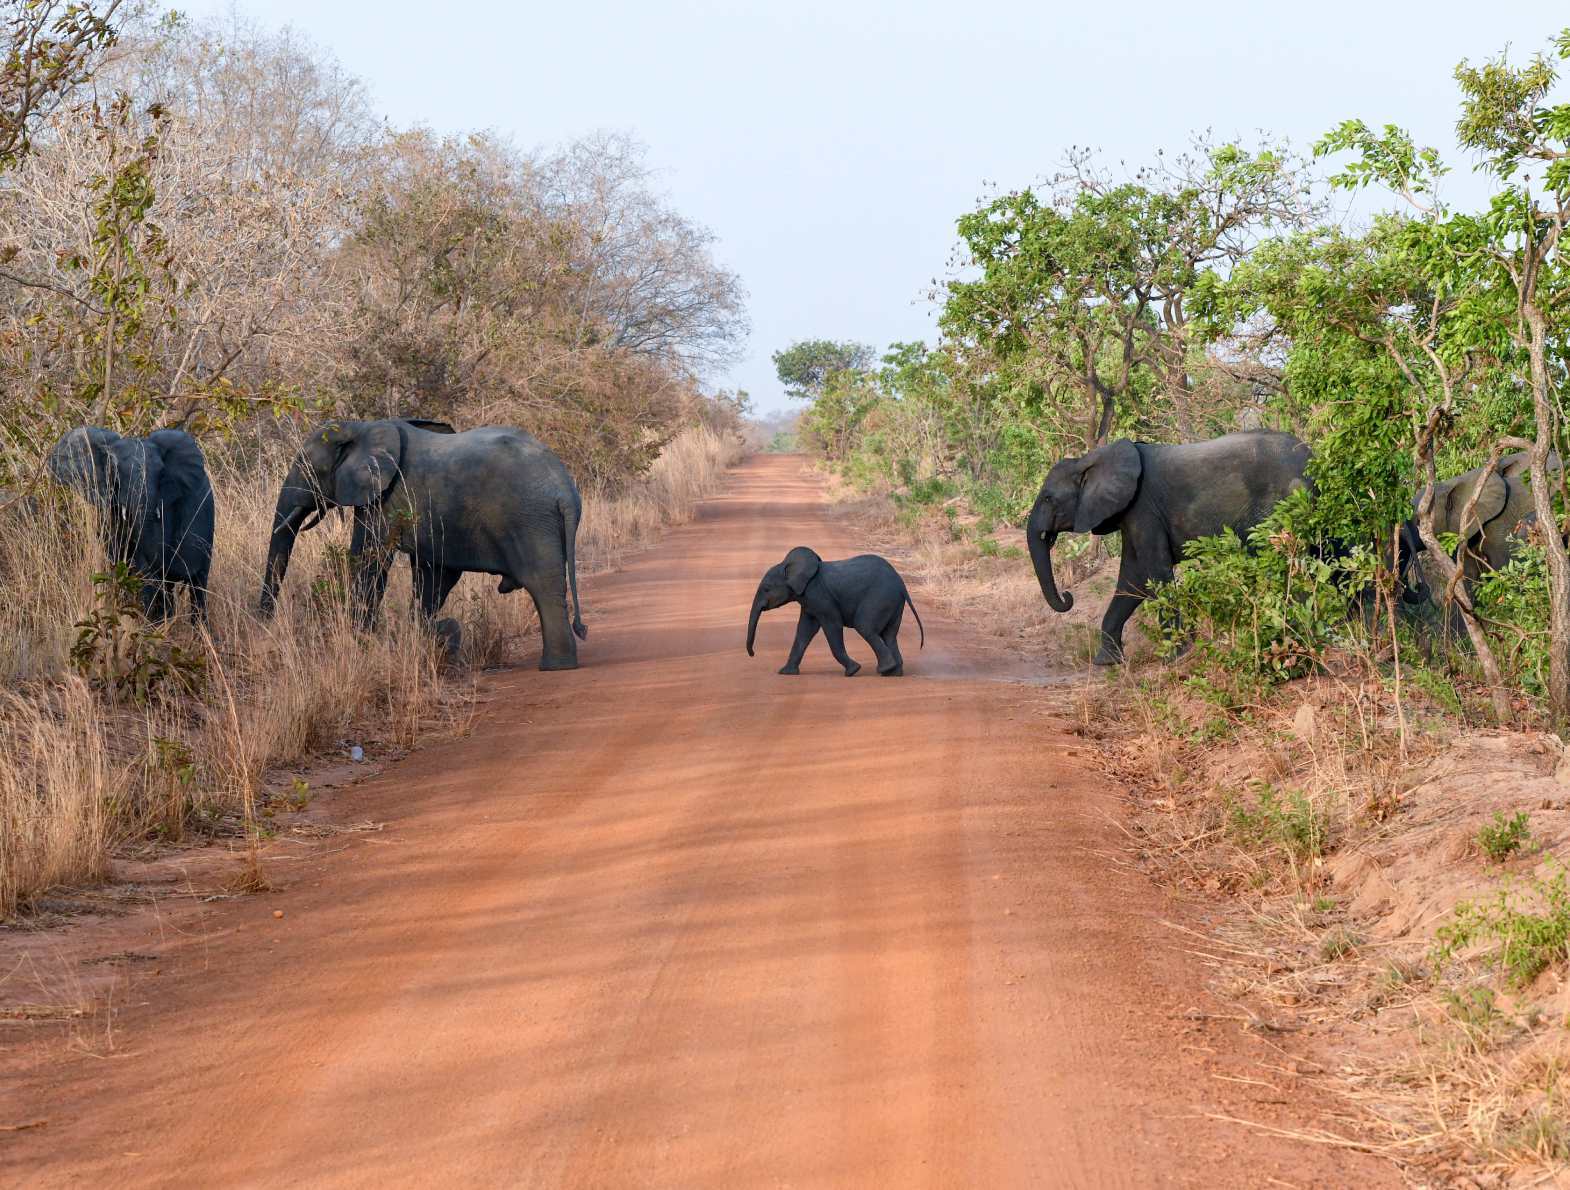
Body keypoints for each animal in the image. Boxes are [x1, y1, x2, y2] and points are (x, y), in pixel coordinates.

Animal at [260, 417, 587, 671]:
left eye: (304, 466)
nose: (262, 627)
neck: (362, 427)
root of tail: (564, 489)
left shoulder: (385, 499)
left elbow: (370, 559)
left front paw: (362, 642)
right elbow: (435, 575)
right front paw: (429, 634)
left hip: (529, 520)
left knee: (542, 584)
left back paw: (555, 666)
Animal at [744, 546, 916, 675]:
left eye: (766, 589)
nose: (753, 654)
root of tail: (901, 584)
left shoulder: (819, 596)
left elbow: (832, 625)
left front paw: (853, 671)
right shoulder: (808, 601)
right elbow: (805, 630)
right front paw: (786, 673)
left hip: (879, 597)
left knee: (865, 626)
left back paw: (885, 669)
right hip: (893, 603)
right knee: (889, 635)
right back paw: (893, 673)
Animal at [1029, 433, 1312, 665]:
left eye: (1048, 498)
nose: (1068, 596)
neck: (1089, 459)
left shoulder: (1143, 508)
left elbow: (1155, 573)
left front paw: (1175, 658)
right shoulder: (1131, 513)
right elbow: (1133, 579)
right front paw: (1107, 662)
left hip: (1280, 503)